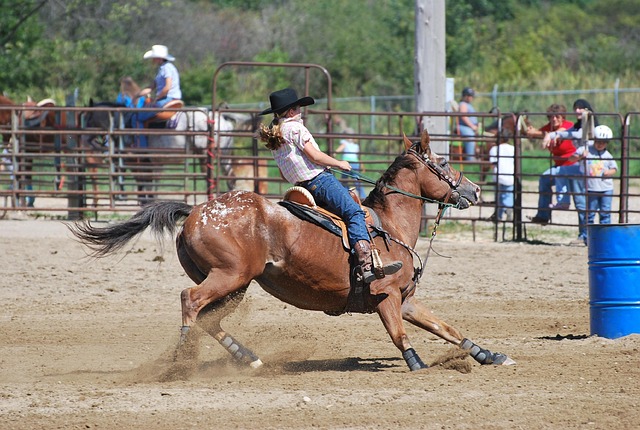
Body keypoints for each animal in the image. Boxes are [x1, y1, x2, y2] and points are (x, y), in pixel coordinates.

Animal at [69, 128, 516, 372]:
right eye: (442, 161)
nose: (476, 189)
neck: (388, 225)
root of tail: (195, 209)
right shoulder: (386, 295)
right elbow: (399, 333)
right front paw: (417, 363)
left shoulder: (405, 298)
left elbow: (448, 328)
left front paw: (490, 355)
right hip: (228, 276)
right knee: (190, 302)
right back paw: (182, 360)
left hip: (236, 284)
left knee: (209, 319)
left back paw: (248, 358)